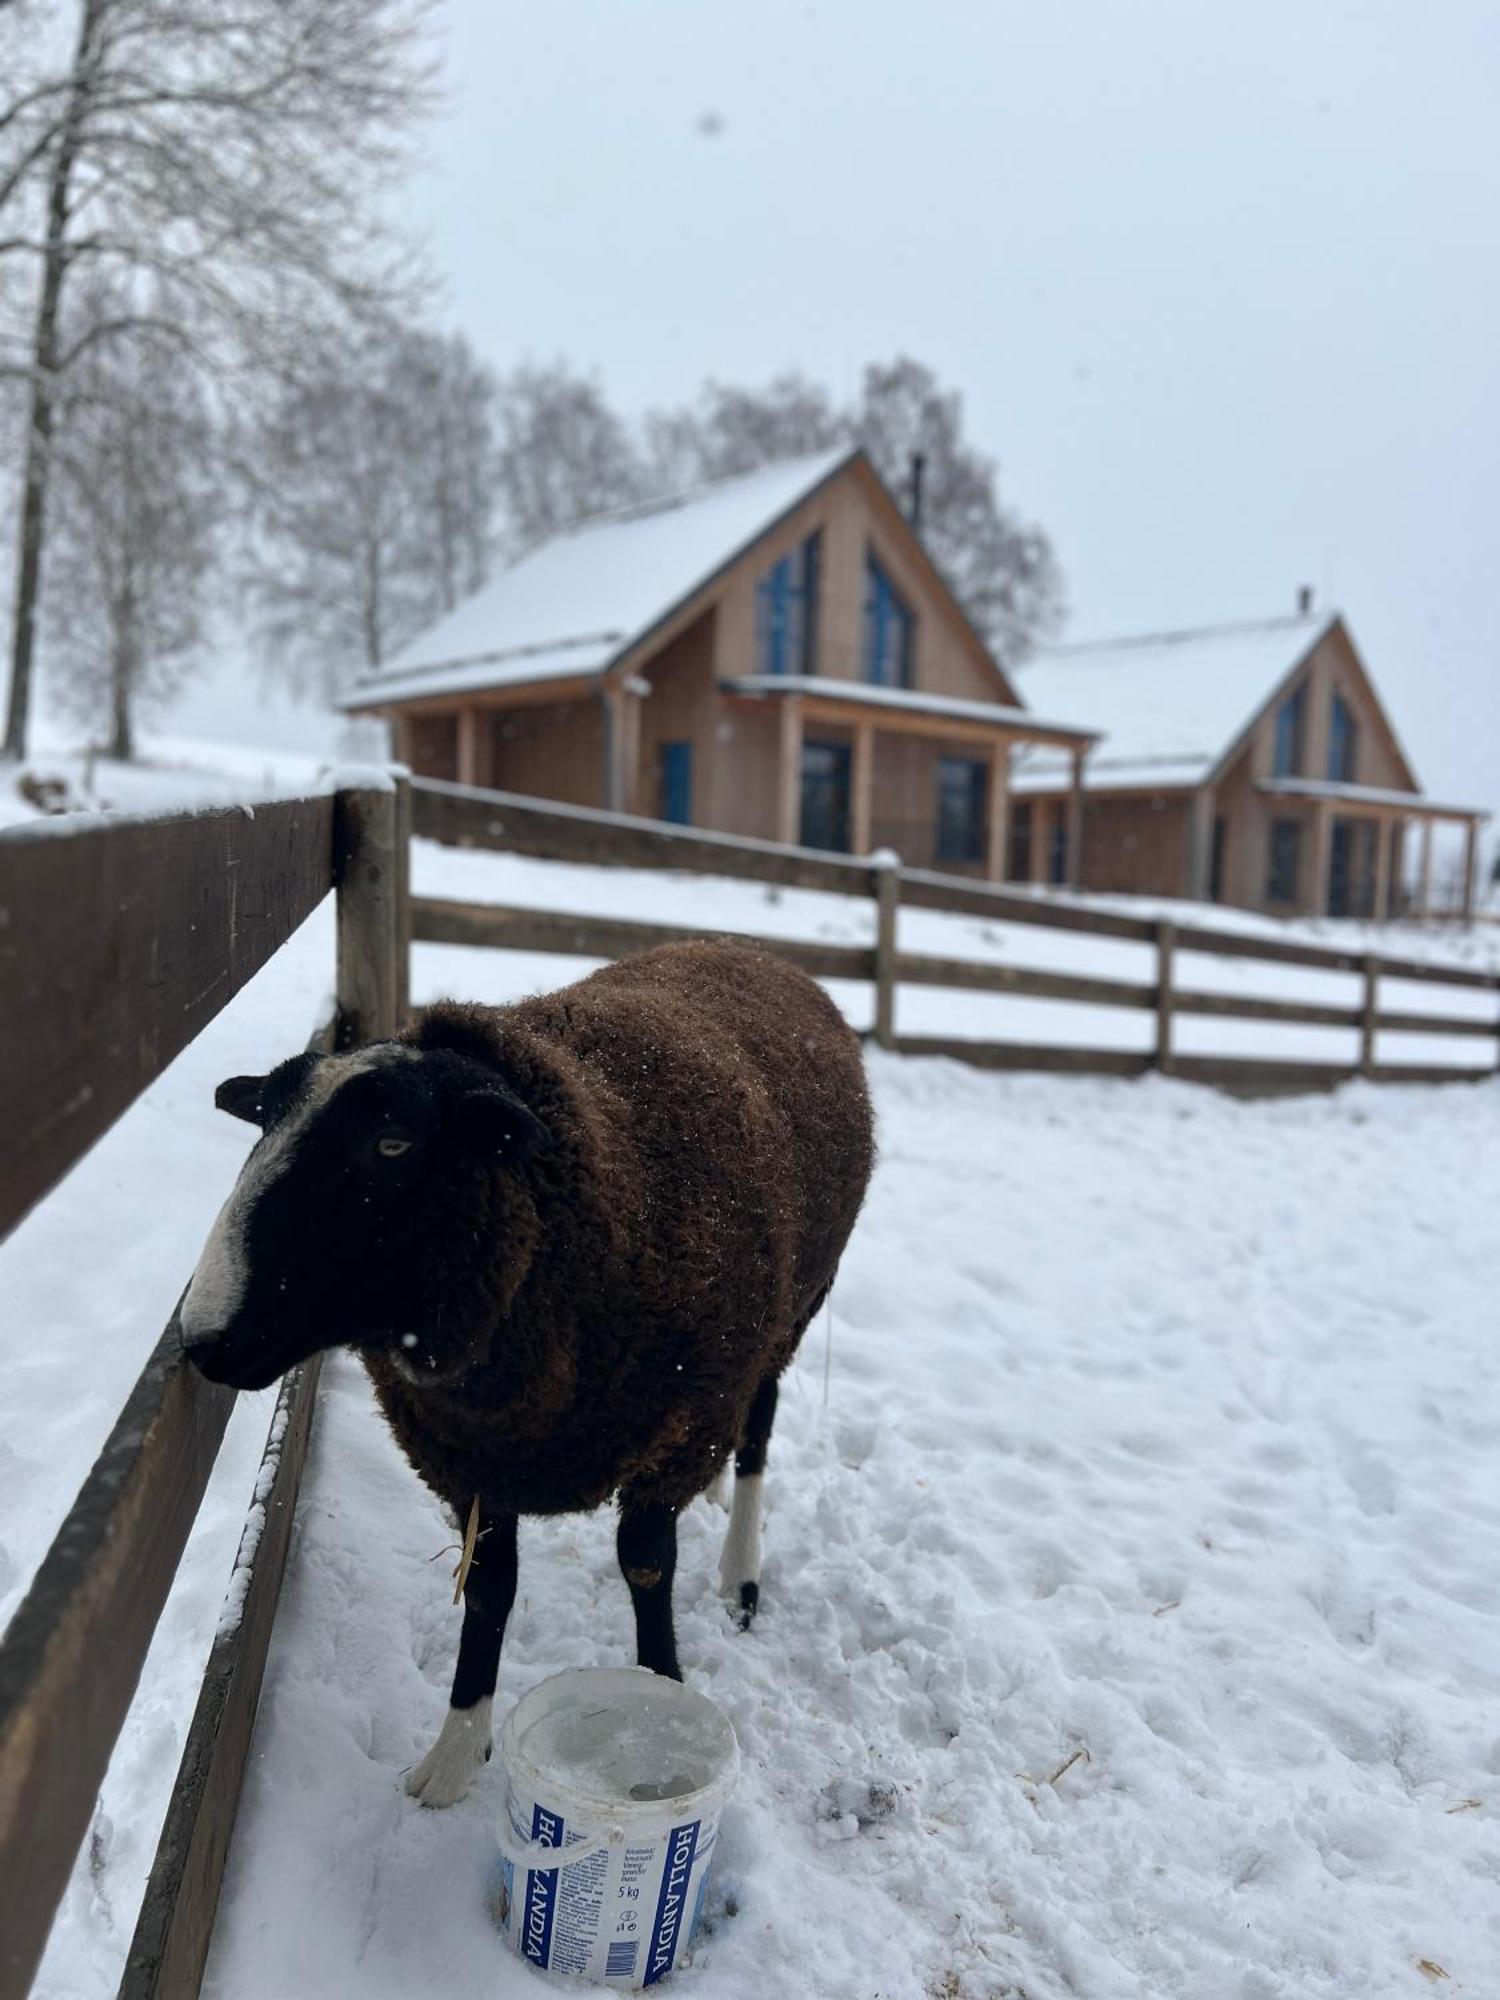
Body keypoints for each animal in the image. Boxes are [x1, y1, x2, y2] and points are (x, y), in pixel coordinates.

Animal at [181, 944, 876, 1808]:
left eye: (393, 1143)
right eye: (265, 1123)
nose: (200, 1337)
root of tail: (747, 949)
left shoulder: (676, 1429)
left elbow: (647, 1565)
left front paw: (662, 1692)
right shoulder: (472, 1462)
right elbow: (489, 1590)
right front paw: (454, 1755)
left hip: (795, 1311)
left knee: (757, 1429)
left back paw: (739, 1572)